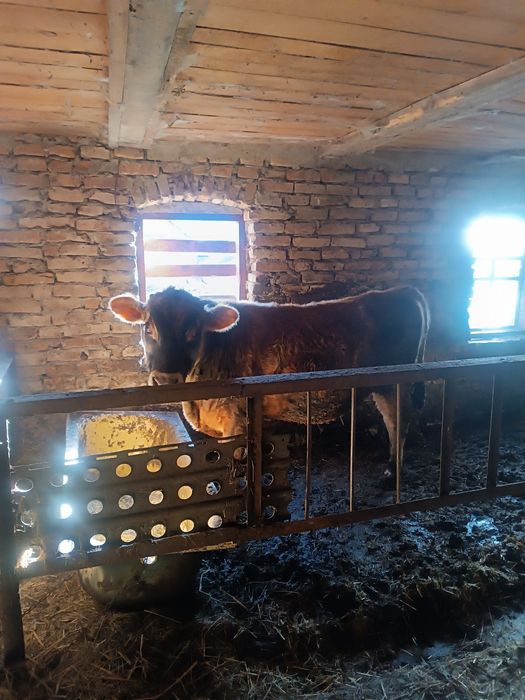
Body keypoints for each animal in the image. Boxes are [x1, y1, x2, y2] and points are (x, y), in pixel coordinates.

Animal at [109, 286, 430, 479]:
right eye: (147, 327)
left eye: (193, 331)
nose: (165, 378)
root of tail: (402, 290)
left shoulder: (236, 421)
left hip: (395, 384)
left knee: (398, 423)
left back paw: (393, 472)